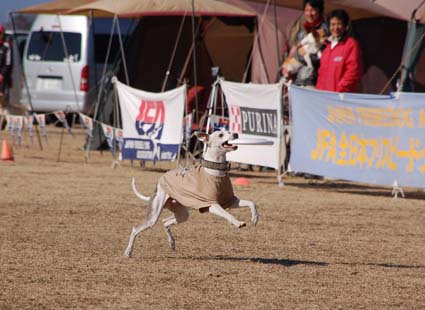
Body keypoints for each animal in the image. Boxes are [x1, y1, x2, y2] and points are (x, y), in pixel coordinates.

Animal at [123, 130, 258, 258]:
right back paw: (128, 252)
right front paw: (237, 223)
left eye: (229, 131)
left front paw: (255, 218)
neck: (215, 171)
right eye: (220, 134)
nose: (235, 134)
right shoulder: (210, 204)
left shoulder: (230, 200)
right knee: (136, 229)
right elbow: (226, 213)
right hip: (153, 216)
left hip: (182, 213)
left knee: (165, 222)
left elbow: (251, 203)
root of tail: (161, 179)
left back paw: (172, 243)